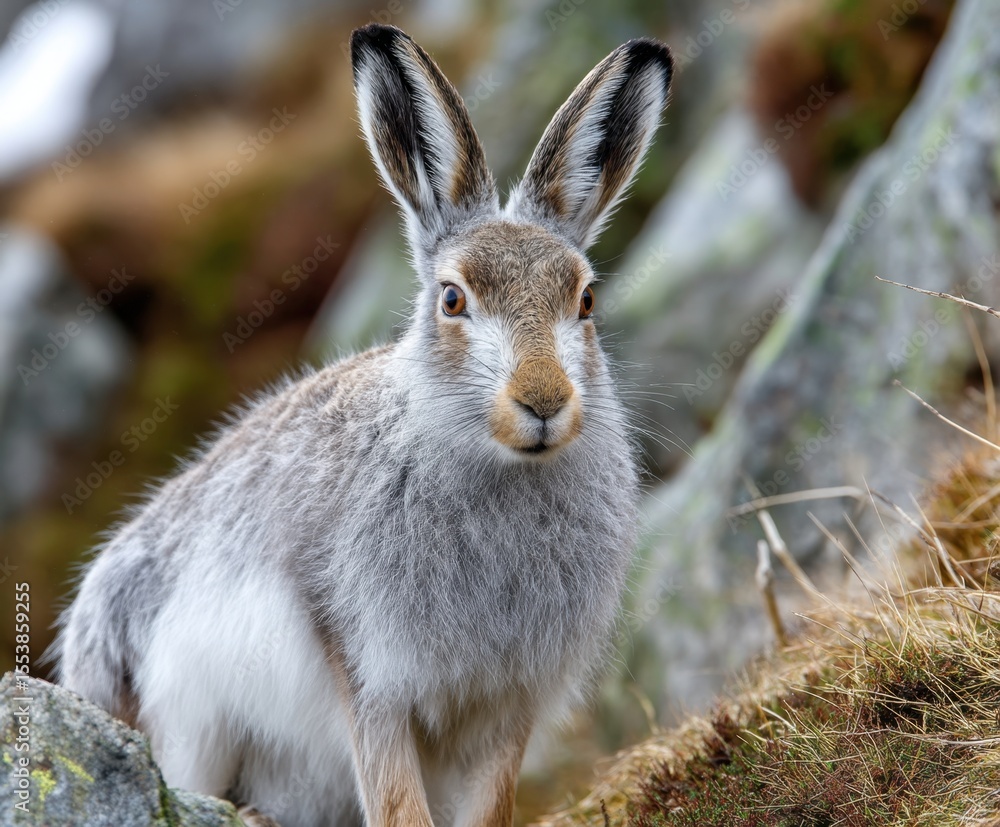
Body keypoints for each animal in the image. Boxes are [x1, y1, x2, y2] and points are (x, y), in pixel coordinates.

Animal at [53, 23, 673, 827]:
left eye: (587, 299)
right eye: (452, 299)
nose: (543, 400)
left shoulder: (508, 705)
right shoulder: (368, 675)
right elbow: (397, 800)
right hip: (189, 725)